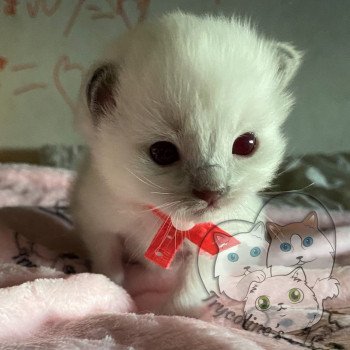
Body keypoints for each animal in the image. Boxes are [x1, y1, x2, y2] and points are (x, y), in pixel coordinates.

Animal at [70, 12, 300, 316]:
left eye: (246, 145)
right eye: (162, 153)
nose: (212, 193)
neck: (167, 220)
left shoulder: (215, 247)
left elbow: (189, 292)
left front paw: (167, 316)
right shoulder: (98, 222)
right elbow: (108, 265)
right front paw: (115, 293)